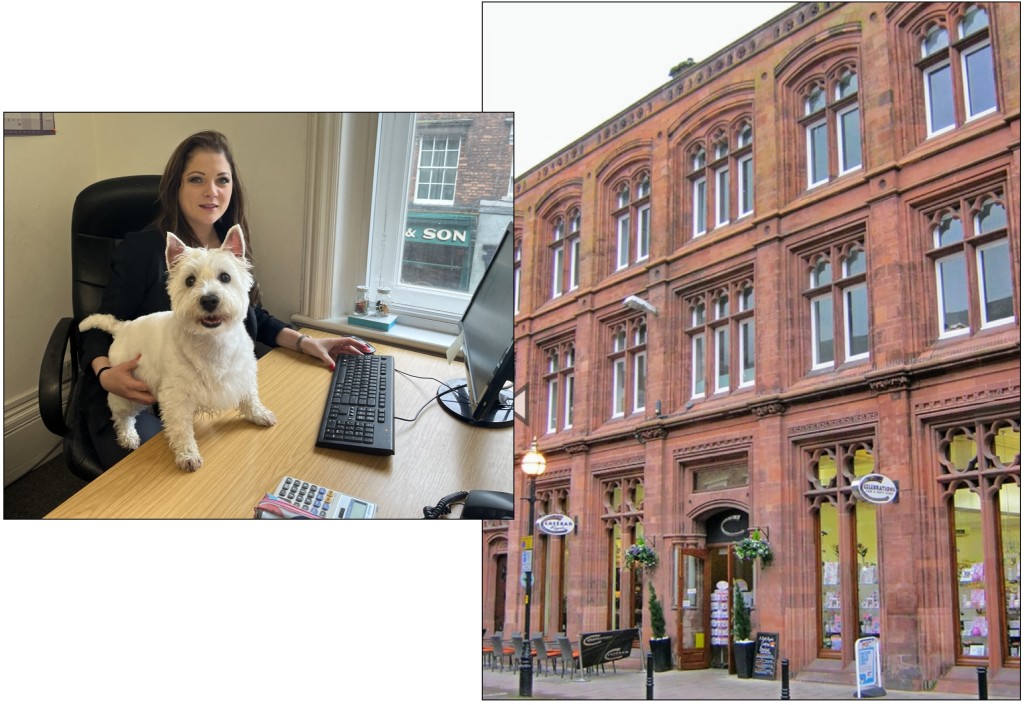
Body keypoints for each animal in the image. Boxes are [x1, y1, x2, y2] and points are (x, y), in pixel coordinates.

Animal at [81, 224, 276, 467]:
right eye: (189, 280)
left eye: (225, 277)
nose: (209, 300)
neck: (212, 341)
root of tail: (122, 326)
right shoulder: (176, 396)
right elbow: (181, 429)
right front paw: (188, 455)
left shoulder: (242, 373)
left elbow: (250, 396)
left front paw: (259, 414)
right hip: (124, 389)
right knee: (121, 416)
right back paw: (129, 437)